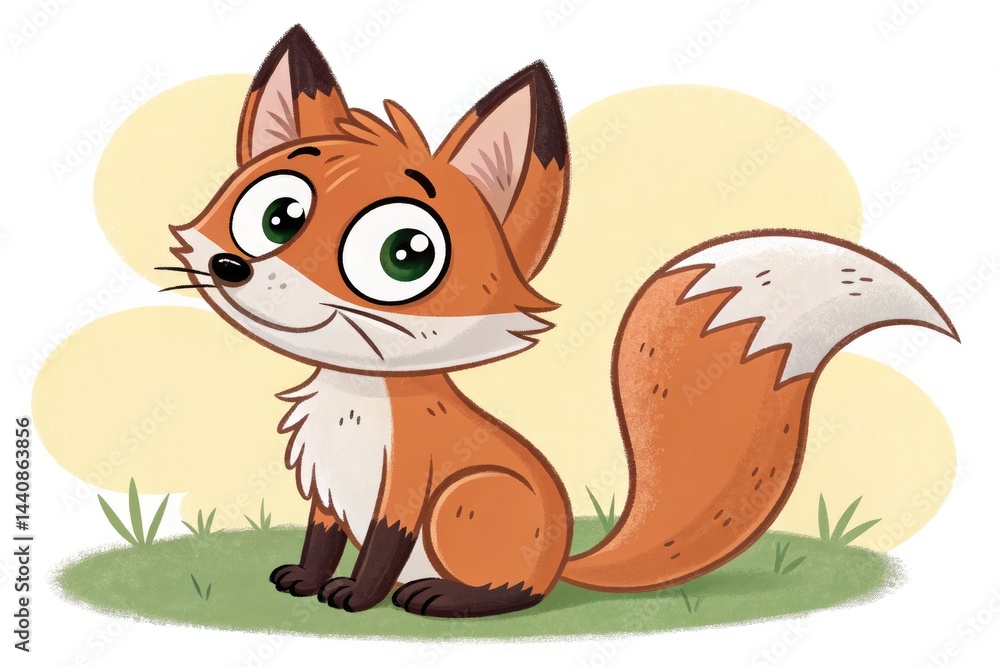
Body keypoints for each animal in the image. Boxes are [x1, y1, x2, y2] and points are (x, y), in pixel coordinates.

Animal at [167, 25, 958, 617]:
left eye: (406, 253)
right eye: (277, 214)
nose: (234, 268)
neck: (354, 396)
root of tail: (559, 565)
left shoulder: (410, 479)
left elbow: (380, 549)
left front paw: (355, 597)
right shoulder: (330, 484)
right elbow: (321, 537)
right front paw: (306, 580)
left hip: (467, 500)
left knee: (504, 591)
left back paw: (444, 597)